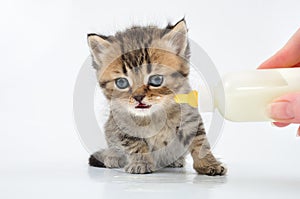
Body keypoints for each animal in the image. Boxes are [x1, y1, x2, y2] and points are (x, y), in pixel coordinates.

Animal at [88, 17, 226, 175]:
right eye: (121, 82)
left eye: (156, 80)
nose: (138, 97)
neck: (153, 115)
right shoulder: (121, 124)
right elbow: (135, 144)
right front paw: (140, 163)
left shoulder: (190, 118)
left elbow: (200, 142)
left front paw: (208, 164)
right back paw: (112, 157)